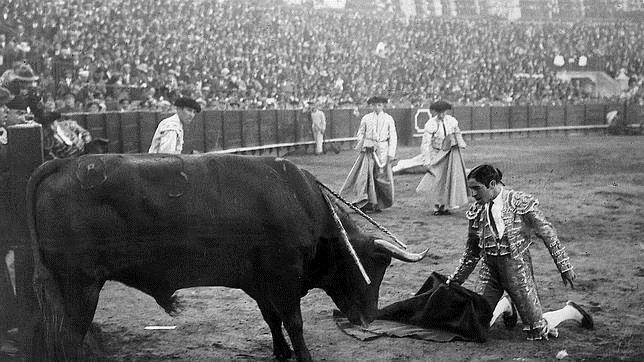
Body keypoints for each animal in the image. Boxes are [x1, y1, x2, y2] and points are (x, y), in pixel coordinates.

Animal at [26, 154, 428, 360]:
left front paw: (281, 353)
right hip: (81, 286)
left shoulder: (260, 282)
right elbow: (294, 321)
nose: (368, 317)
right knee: (68, 337)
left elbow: (272, 319)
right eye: (378, 264)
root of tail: (62, 166)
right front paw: (303, 357)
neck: (301, 202)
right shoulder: (283, 277)